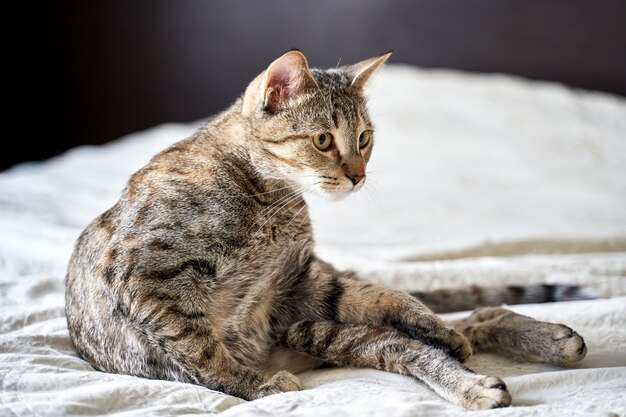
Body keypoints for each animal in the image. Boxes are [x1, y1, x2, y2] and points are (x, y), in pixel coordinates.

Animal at [66, 49, 588, 410]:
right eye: (322, 140)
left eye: (364, 138)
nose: (358, 174)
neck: (268, 196)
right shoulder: (145, 278)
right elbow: (200, 350)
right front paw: (252, 384)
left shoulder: (298, 280)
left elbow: (388, 296)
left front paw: (430, 322)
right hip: (320, 334)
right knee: (420, 345)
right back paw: (483, 380)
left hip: (317, 326)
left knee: (465, 319)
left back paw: (518, 342)